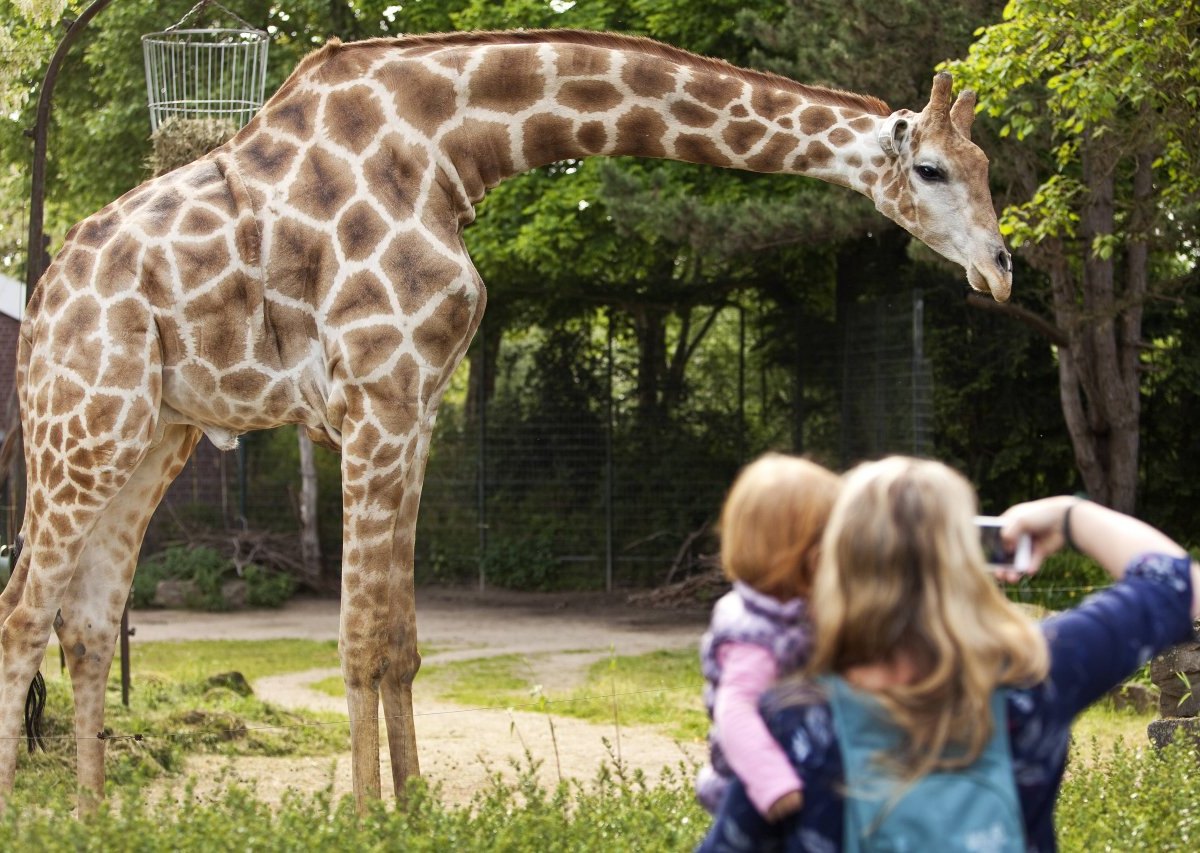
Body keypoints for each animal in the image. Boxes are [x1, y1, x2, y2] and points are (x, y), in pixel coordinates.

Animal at [0, 29, 1012, 811]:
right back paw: (29, 800)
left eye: (987, 167)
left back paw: (92, 810)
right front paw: (363, 815)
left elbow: (400, 640)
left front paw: (413, 806)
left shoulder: (415, 407)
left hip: (150, 438)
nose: (1000, 269)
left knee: (87, 622)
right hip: (81, 424)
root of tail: (43, 302)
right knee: (23, 608)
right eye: (930, 168)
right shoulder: (375, 396)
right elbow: (359, 636)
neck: (453, 145)